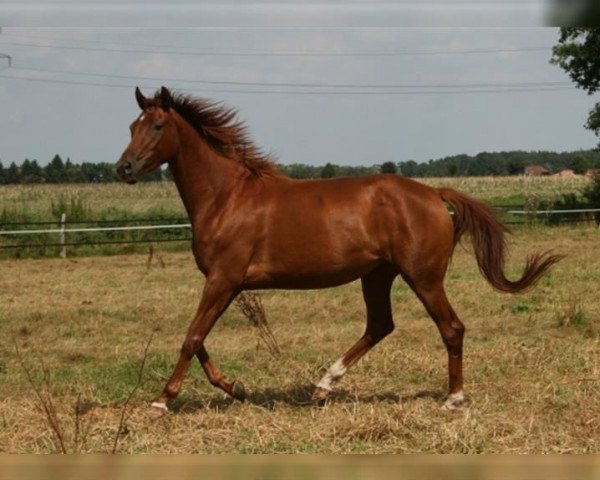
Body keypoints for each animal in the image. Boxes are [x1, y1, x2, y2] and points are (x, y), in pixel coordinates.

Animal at [117, 86, 564, 412]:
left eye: (157, 125)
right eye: (131, 126)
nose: (123, 168)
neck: (228, 197)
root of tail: (435, 195)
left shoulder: (223, 280)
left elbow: (192, 337)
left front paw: (161, 401)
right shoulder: (224, 283)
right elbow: (198, 339)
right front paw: (236, 388)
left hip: (422, 276)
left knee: (451, 328)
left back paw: (453, 399)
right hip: (378, 275)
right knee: (380, 325)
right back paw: (322, 386)